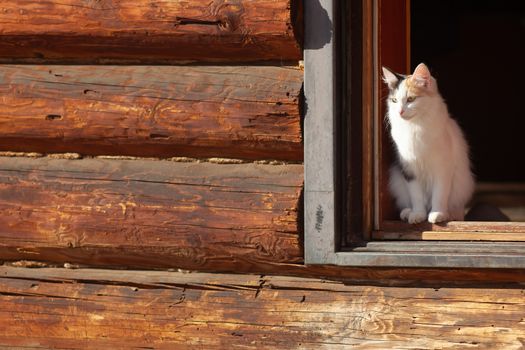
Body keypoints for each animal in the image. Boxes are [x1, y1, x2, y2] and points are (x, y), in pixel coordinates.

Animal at [380, 63, 474, 223]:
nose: (399, 112)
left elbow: (439, 194)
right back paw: (407, 213)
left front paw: (437, 214)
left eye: (411, 99)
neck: (415, 127)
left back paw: (450, 215)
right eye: (394, 101)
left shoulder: (443, 168)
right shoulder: (409, 170)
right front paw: (418, 215)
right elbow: (416, 196)